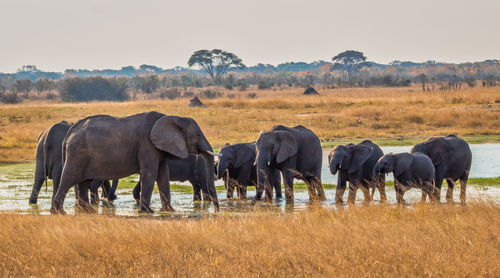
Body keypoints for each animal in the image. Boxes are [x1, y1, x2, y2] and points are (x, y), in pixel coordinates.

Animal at [50, 112, 219, 214]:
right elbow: (151, 173)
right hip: (77, 154)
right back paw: (59, 212)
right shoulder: (147, 144)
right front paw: (148, 212)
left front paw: (169, 211)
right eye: (197, 135)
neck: (172, 118)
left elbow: (163, 175)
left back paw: (88, 211)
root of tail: (69, 133)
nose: (217, 211)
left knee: (84, 182)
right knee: (69, 178)